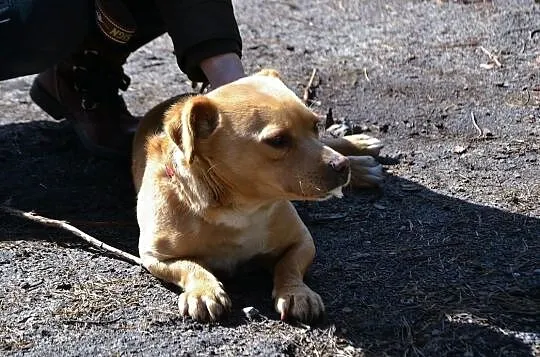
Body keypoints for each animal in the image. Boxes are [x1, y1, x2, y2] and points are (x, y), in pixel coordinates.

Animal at [132, 70, 382, 322]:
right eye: (278, 141)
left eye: (315, 126)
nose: (342, 165)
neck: (241, 209)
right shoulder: (155, 256)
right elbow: (190, 267)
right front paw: (204, 291)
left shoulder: (302, 241)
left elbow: (288, 266)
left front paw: (296, 292)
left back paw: (360, 152)